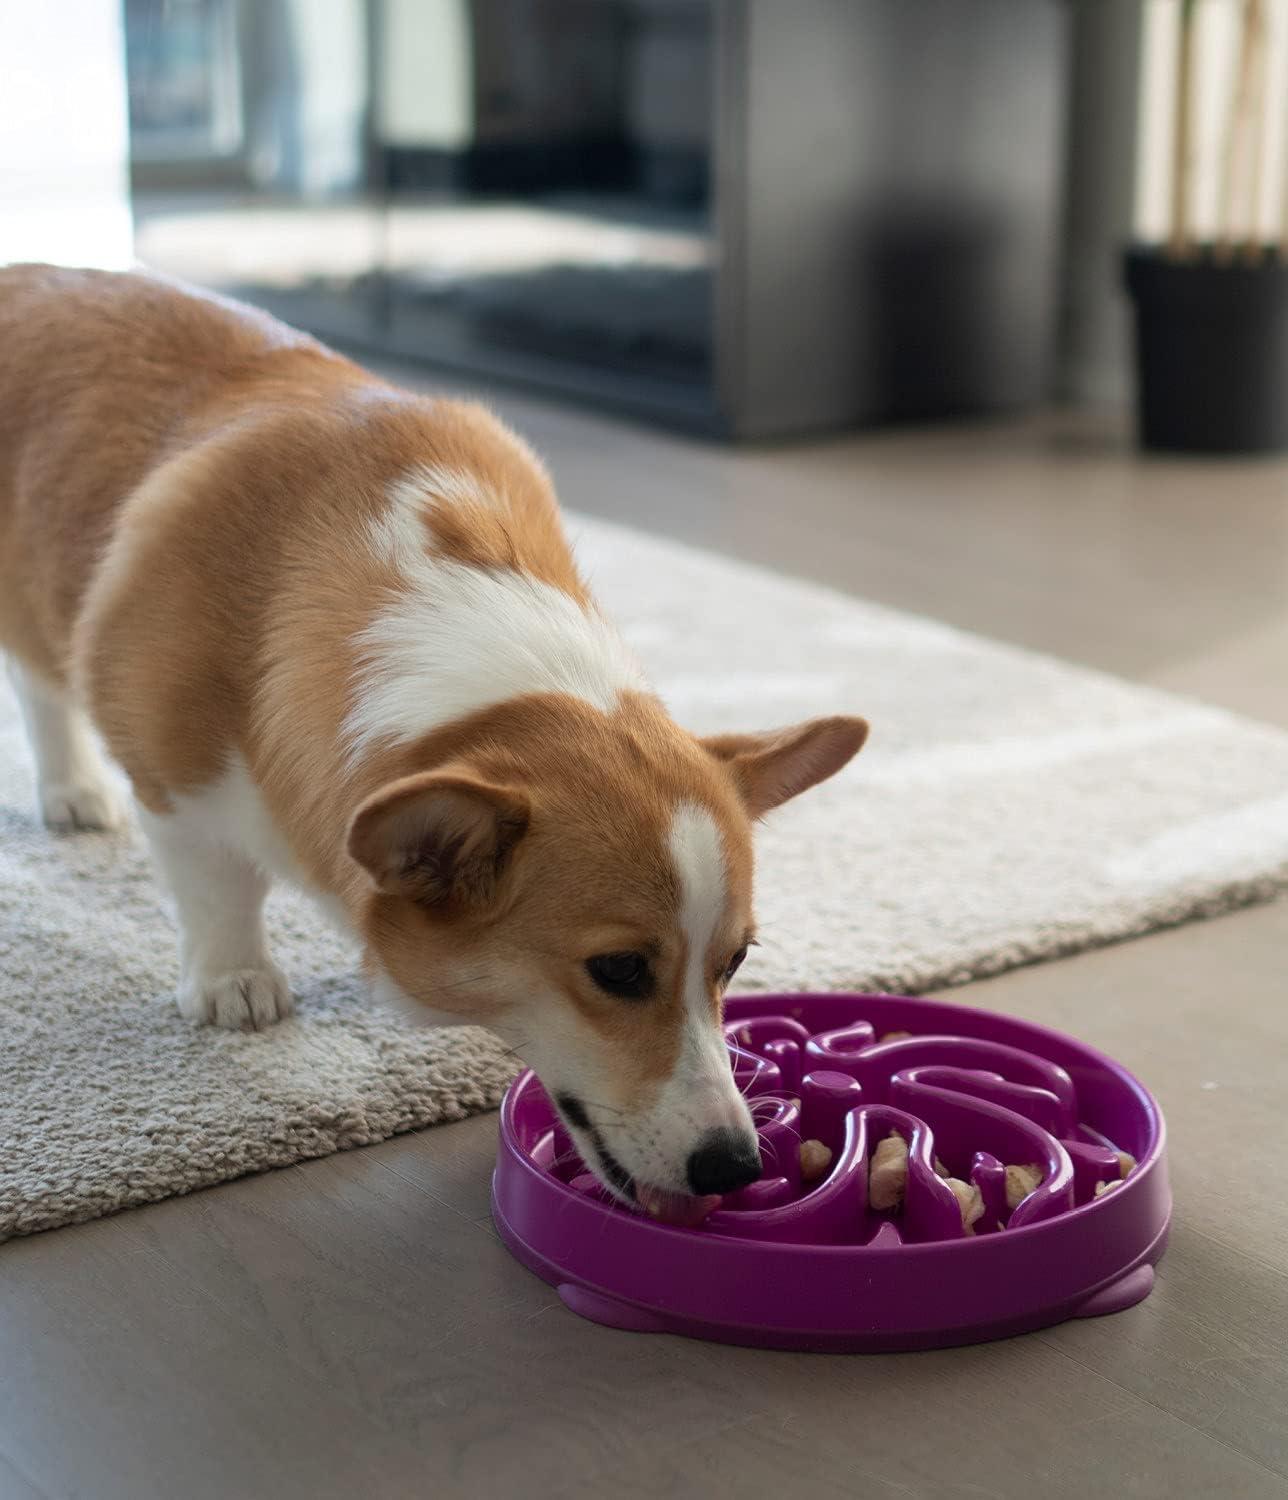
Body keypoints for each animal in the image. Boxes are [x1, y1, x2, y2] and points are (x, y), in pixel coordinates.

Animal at [2, 264, 863, 1212]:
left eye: (736, 960)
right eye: (619, 970)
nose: (734, 1165)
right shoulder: (178, 779)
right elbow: (217, 883)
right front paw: (235, 983)